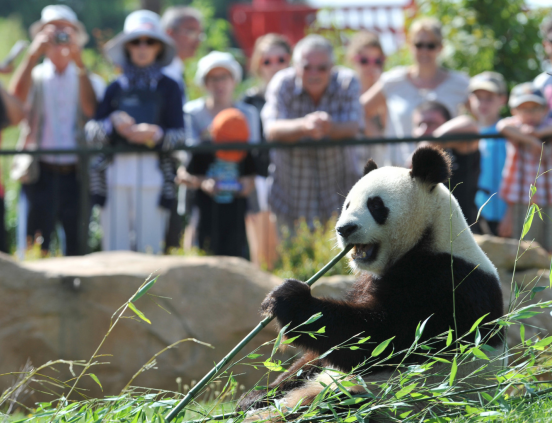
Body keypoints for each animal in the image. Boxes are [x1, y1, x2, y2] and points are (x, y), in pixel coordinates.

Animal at [237, 147, 504, 416]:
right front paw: (255, 395)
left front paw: (289, 298)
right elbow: (317, 356)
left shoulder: (444, 284)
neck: (430, 234)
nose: (344, 229)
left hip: (389, 399)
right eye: (347, 204)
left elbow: (377, 339)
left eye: (376, 205)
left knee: (336, 405)